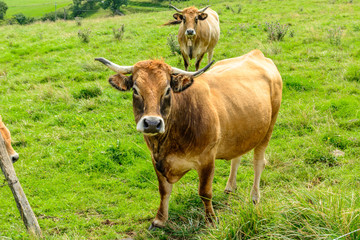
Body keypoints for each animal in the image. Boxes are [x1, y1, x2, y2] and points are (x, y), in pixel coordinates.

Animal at [95, 49, 282, 230]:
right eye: (135, 90)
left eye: (167, 90)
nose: (152, 123)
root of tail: (256, 53)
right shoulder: (156, 160)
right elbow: (164, 191)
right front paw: (159, 220)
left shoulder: (207, 159)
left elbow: (205, 192)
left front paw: (211, 220)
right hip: (242, 131)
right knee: (236, 157)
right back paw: (230, 187)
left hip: (269, 128)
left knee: (258, 163)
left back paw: (255, 196)